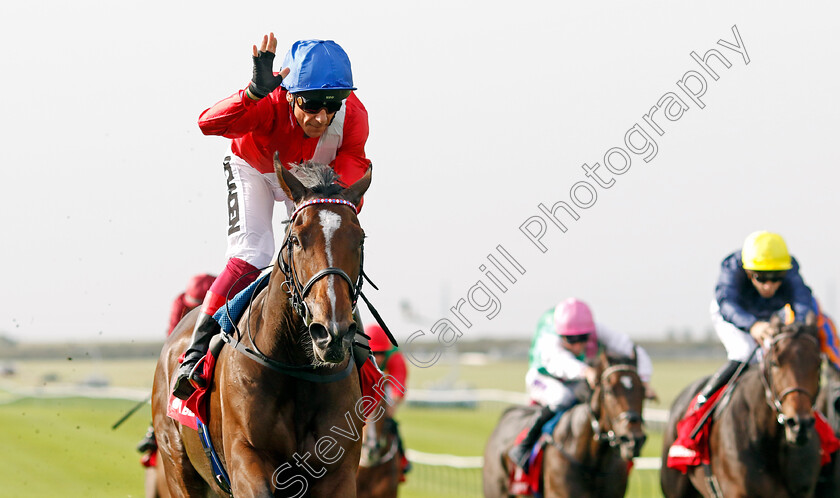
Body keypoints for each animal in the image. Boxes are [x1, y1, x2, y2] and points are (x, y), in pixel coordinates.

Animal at [152, 161, 374, 496]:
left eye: (360, 239)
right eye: (296, 239)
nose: (332, 332)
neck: (297, 367)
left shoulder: (339, 471)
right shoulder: (247, 458)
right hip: (177, 465)